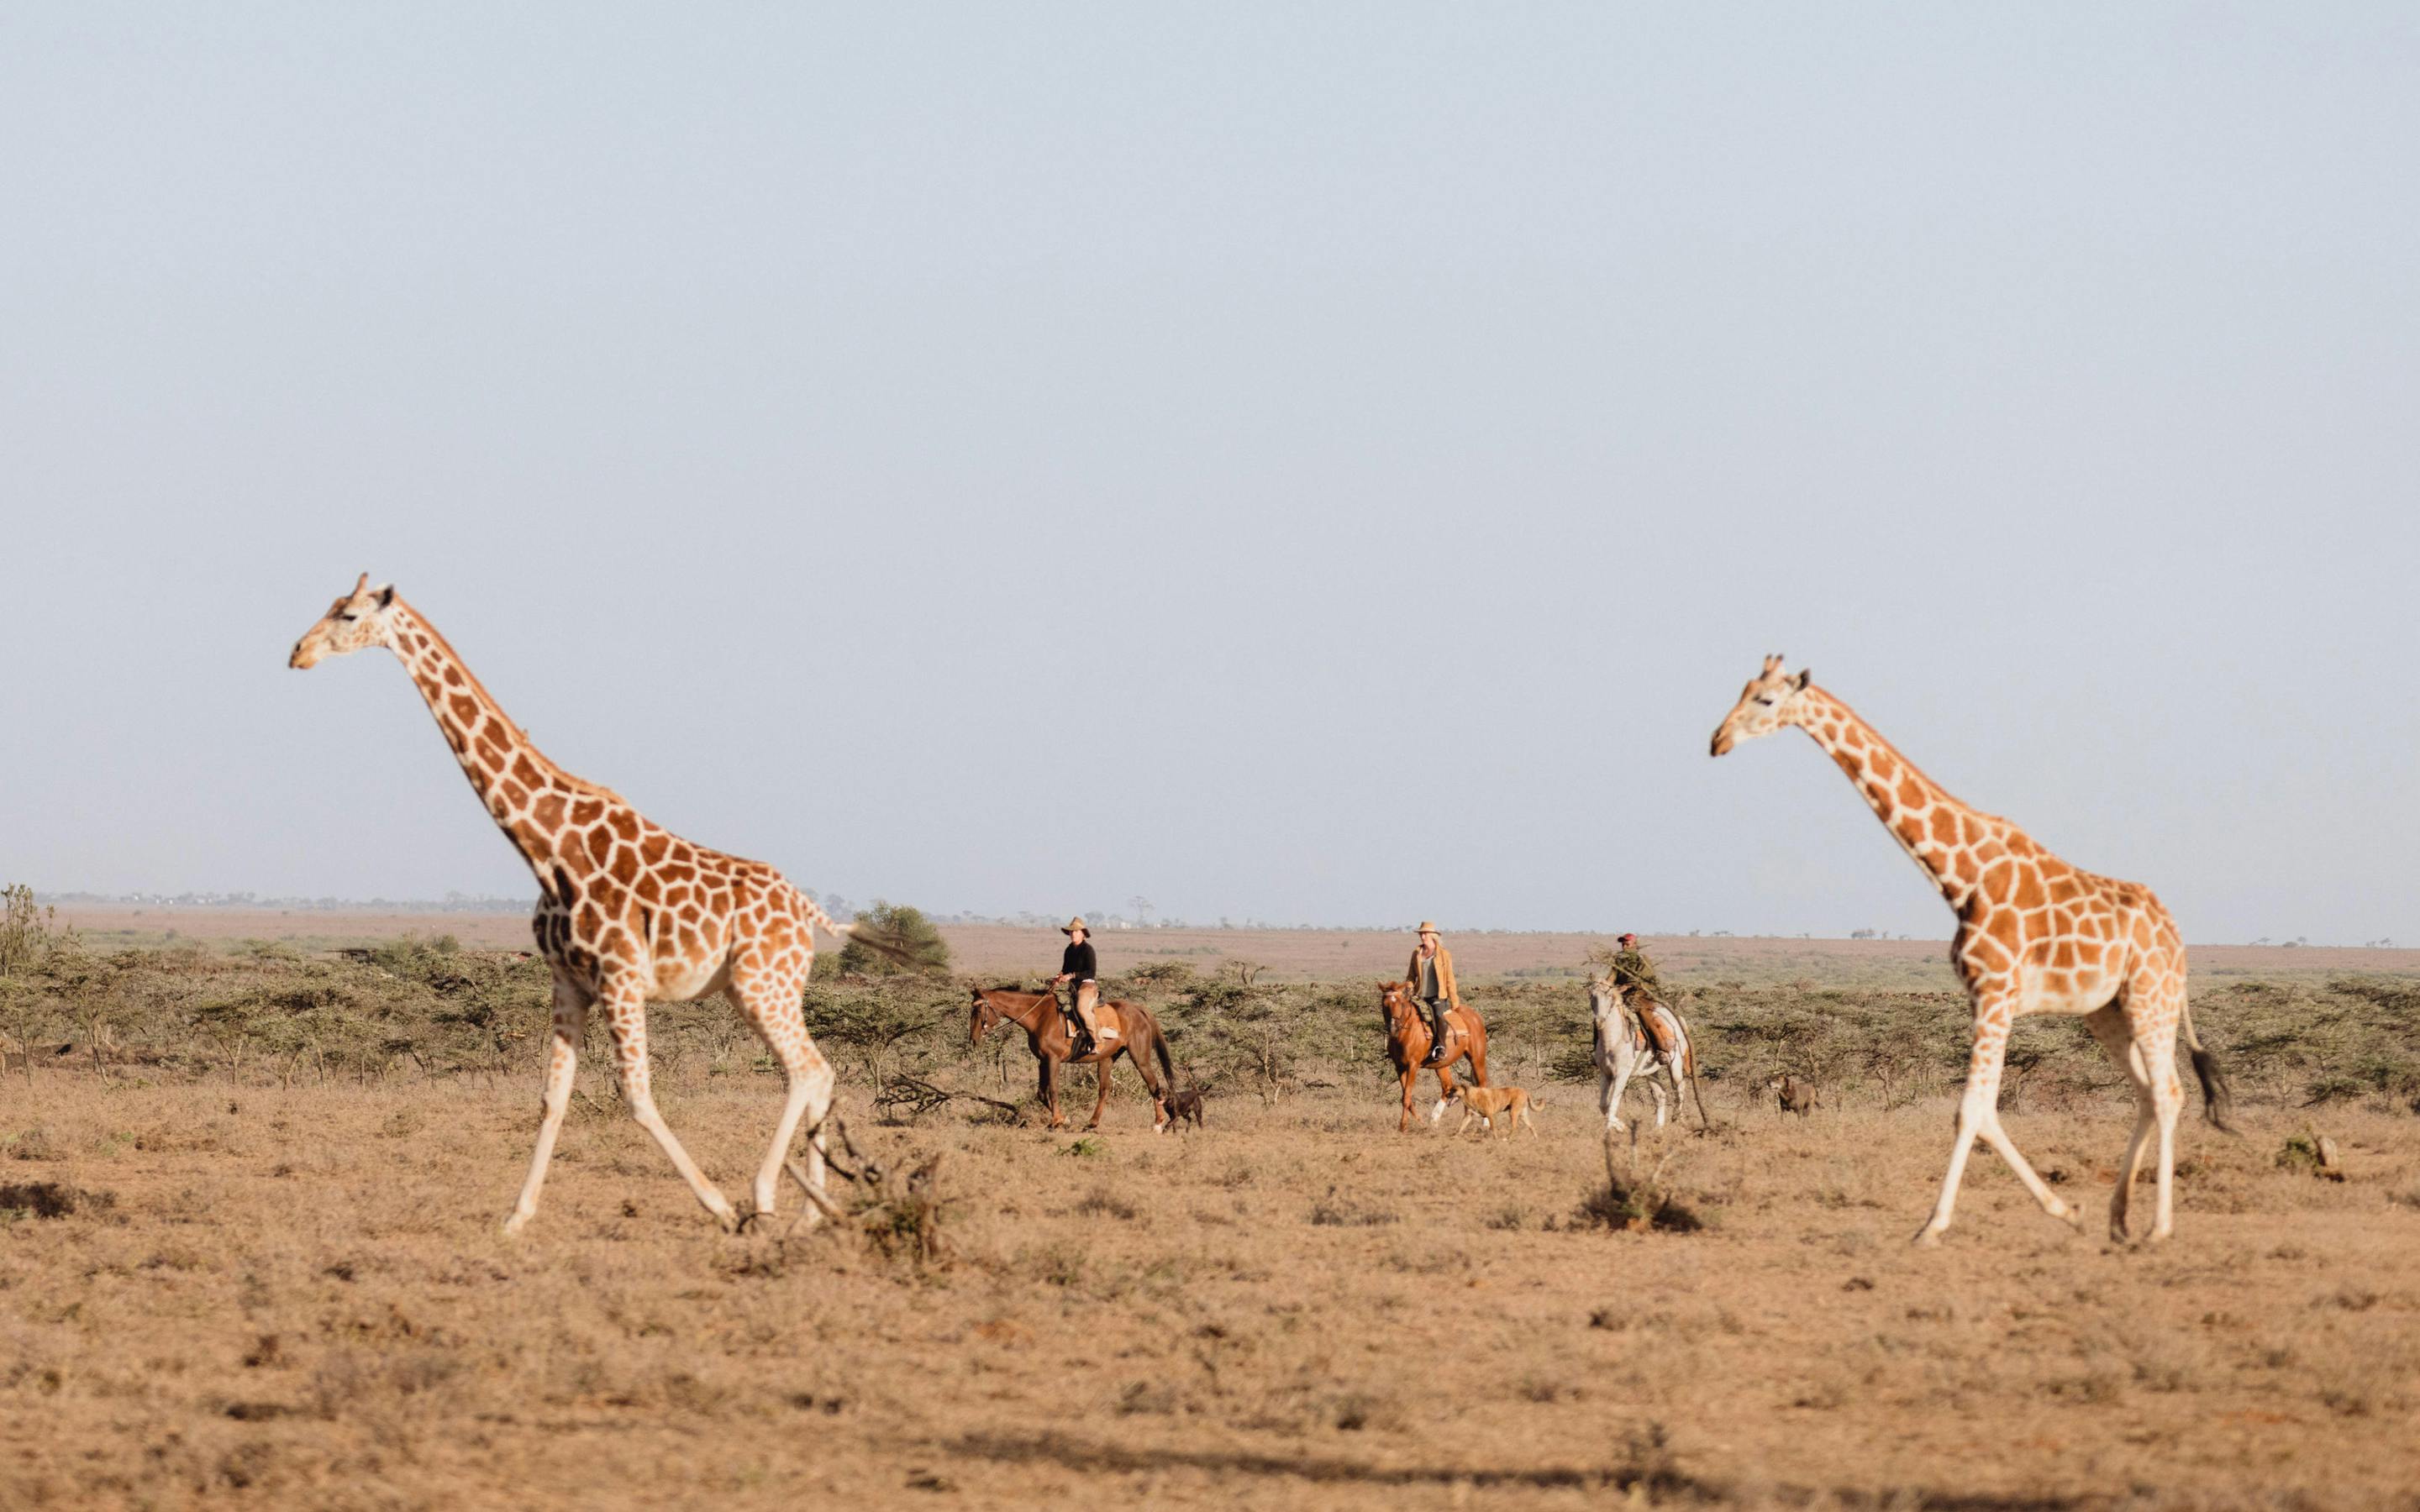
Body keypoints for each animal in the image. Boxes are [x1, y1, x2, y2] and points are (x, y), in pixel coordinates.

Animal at [291, 574, 873, 1235]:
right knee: (817, 1070)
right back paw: (810, 1213)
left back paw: (767, 1197)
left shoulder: (620, 978)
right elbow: (553, 1098)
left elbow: (637, 1096)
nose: (298, 653)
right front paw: (516, 1218)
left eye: (348, 615)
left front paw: (720, 1207)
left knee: (807, 1069)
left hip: (761, 983)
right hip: (756, 987)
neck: (547, 845)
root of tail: (808, 911)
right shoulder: (568, 980)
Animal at [1710, 655, 2231, 1245]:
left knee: (2168, 1092)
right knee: (2145, 1092)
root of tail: (2175, 936)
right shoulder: (1985, 998)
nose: (1717, 740)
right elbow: (1985, 1112)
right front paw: (2066, 1209)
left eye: (1766, 700)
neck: (1962, 877)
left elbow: (1971, 1112)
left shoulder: (1996, 992)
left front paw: (1932, 1226)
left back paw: (2158, 1227)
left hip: (2151, 996)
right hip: (2107, 1010)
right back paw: (2117, 1218)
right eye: (1743, 689)